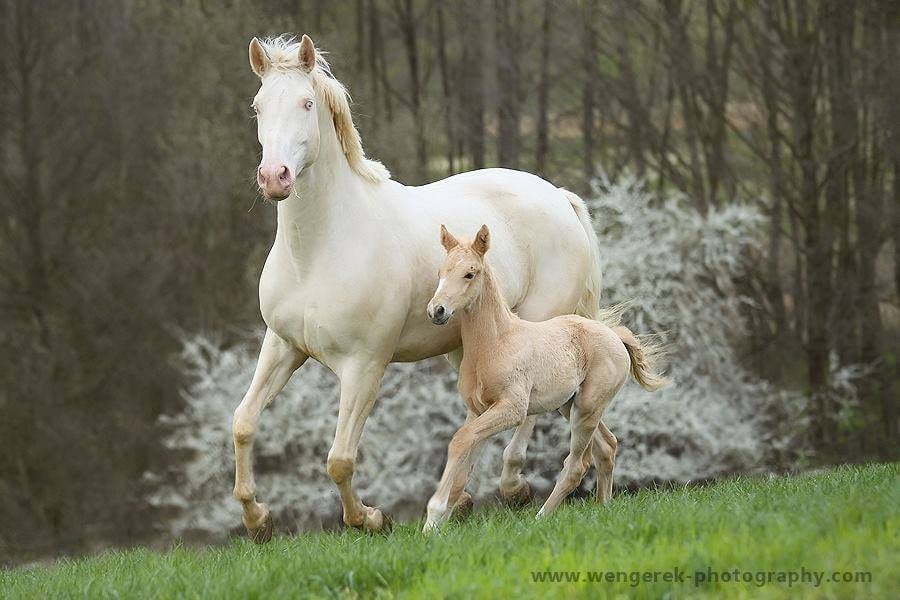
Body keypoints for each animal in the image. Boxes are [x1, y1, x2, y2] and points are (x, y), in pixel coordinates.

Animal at [236, 35, 604, 544]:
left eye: (306, 103)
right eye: (257, 106)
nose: (275, 177)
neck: (319, 251)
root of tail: (559, 197)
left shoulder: (364, 366)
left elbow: (339, 460)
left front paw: (372, 519)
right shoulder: (283, 347)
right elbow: (244, 424)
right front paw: (258, 521)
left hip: (535, 331)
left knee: (526, 411)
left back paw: (512, 488)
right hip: (465, 348)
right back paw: (467, 498)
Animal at [424, 226, 668, 536]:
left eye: (470, 273)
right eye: (441, 272)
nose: (436, 311)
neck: (495, 343)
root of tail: (614, 335)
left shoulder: (512, 409)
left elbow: (459, 440)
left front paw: (432, 519)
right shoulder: (477, 411)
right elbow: (464, 461)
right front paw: (441, 521)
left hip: (587, 408)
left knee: (577, 465)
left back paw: (540, 519)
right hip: (570, 405)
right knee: (608, 446)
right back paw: (604, 508)